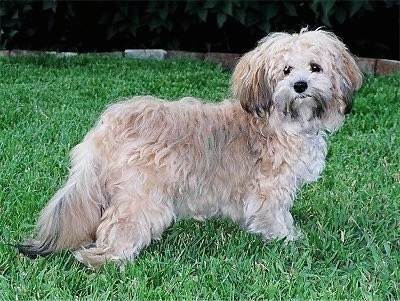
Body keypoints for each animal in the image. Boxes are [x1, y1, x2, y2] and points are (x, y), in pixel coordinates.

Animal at [18, 28, 362, 268]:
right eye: (286, 71)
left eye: (315, 67)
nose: (300, 86)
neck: (279, 119)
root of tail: (111, 125)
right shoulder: (270, 190)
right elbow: (274, 215)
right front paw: (286, 238)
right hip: (144, 193)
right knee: (119, 224)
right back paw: (106, 258)